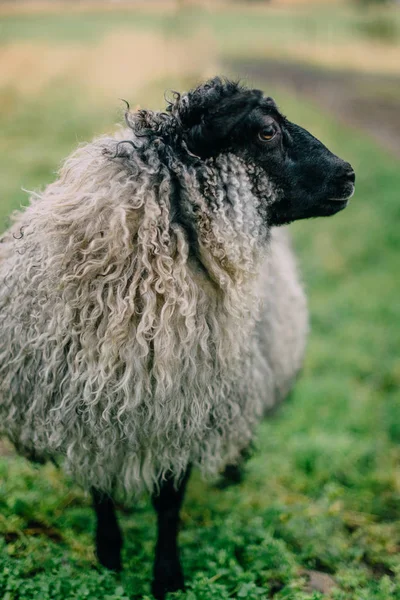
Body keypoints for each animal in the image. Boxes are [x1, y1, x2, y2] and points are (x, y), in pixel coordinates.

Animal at [0, 77, 356, 596]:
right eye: (267, 131)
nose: (349, 175)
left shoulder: (186, 410)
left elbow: (169, 503)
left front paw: (167, 576)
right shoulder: (86, 406)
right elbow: (100, 490)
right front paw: (109, 558)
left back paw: (232, 471)